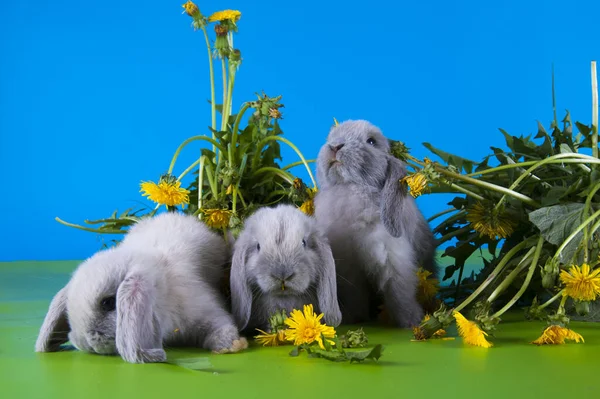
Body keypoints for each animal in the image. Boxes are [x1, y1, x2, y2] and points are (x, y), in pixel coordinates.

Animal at [314, 120, 436, 330]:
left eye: (371, 141)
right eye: (330, 137)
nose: (335, 146)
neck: (350, 188)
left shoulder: (392, 258)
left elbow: (399, 292)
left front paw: (411, 321)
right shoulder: (350, 270)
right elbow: (355, 296)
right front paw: (354, 318)